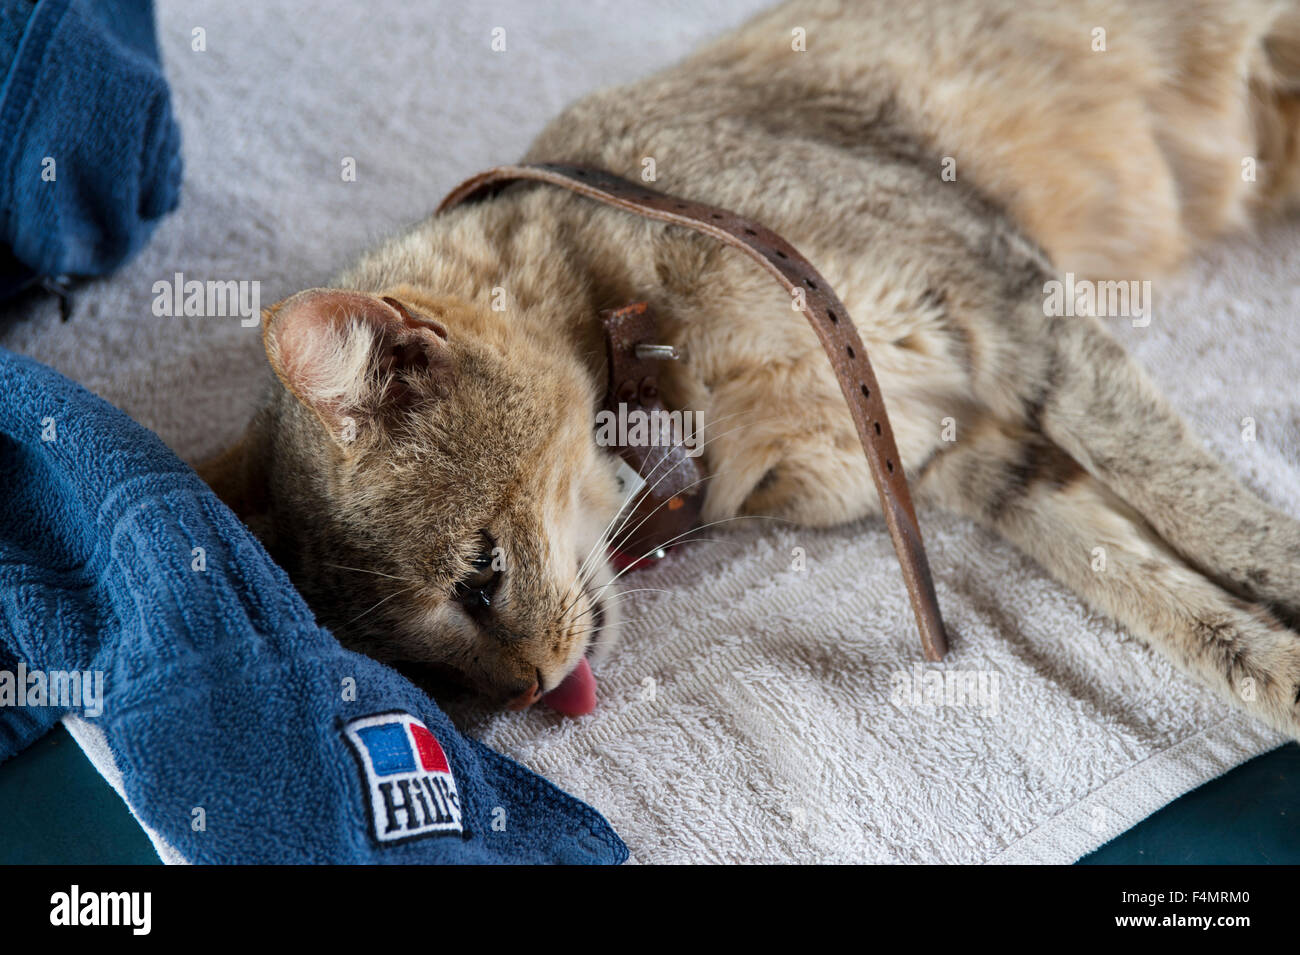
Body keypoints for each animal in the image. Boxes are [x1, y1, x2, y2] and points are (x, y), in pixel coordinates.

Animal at [197, 0, 1300, 732]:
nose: (528, 694)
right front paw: (1279, 671)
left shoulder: (1012, 307)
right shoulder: (965, 457)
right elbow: (1183, 610)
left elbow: (1208, 512)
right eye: (429, 677)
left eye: (479, 574)